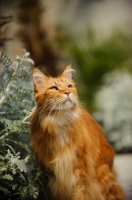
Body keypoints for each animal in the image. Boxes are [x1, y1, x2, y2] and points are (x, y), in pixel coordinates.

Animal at [30, 65, 125, 200]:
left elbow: (78, 194)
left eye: (69, 86)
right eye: (54, 88)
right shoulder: (52, 176)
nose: (67, 92)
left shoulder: (80, 172)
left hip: (103, 176)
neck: (60, 120)